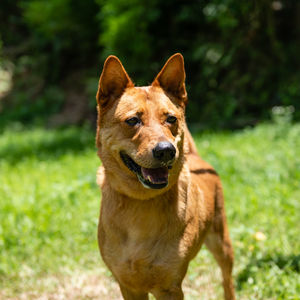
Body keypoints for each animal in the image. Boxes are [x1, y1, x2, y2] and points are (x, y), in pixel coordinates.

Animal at [96, 52, 237, 298]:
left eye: (171, 118)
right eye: (133, 120)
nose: (166, 150)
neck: (141, 203)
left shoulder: (169, 286)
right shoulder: (128, 285)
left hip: (221, 241)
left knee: (227, 279)